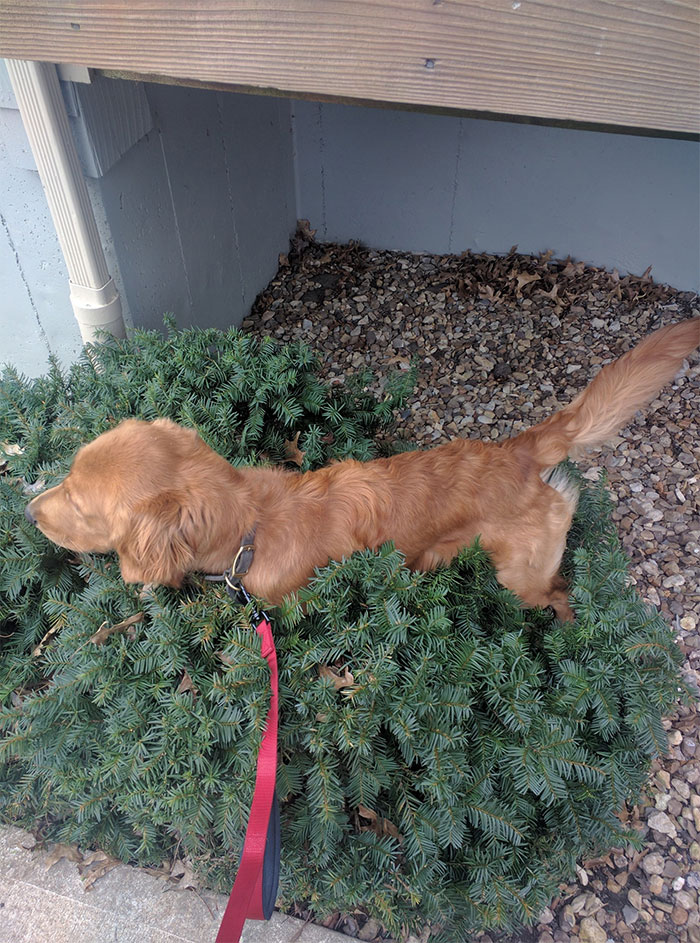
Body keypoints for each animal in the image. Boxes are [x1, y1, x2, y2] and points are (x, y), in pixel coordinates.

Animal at [24, 320, 696, 624]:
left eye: (80, 504)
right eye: (68, 474)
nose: (27, 508)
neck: (251, 524)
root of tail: (521, 449)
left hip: (521, 575)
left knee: (560, 596)